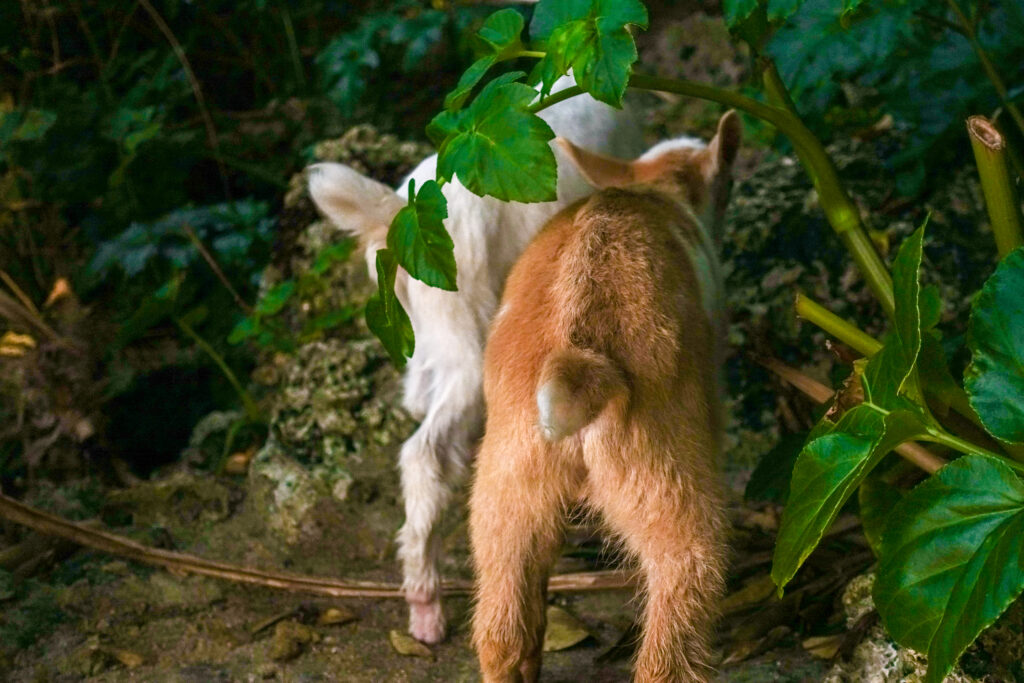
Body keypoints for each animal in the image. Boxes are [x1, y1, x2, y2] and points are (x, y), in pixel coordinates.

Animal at [305, 77, 638, 643]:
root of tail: (396, 214)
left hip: (424, 328)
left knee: (420, 404)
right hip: (465, 330)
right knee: (425, 453)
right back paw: (426, 604)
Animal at [468, 109, 741, 679]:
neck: (653, 189)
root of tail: (581, 363)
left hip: (505, 491)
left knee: (501, 626)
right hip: (666, 486)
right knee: (673, 625)